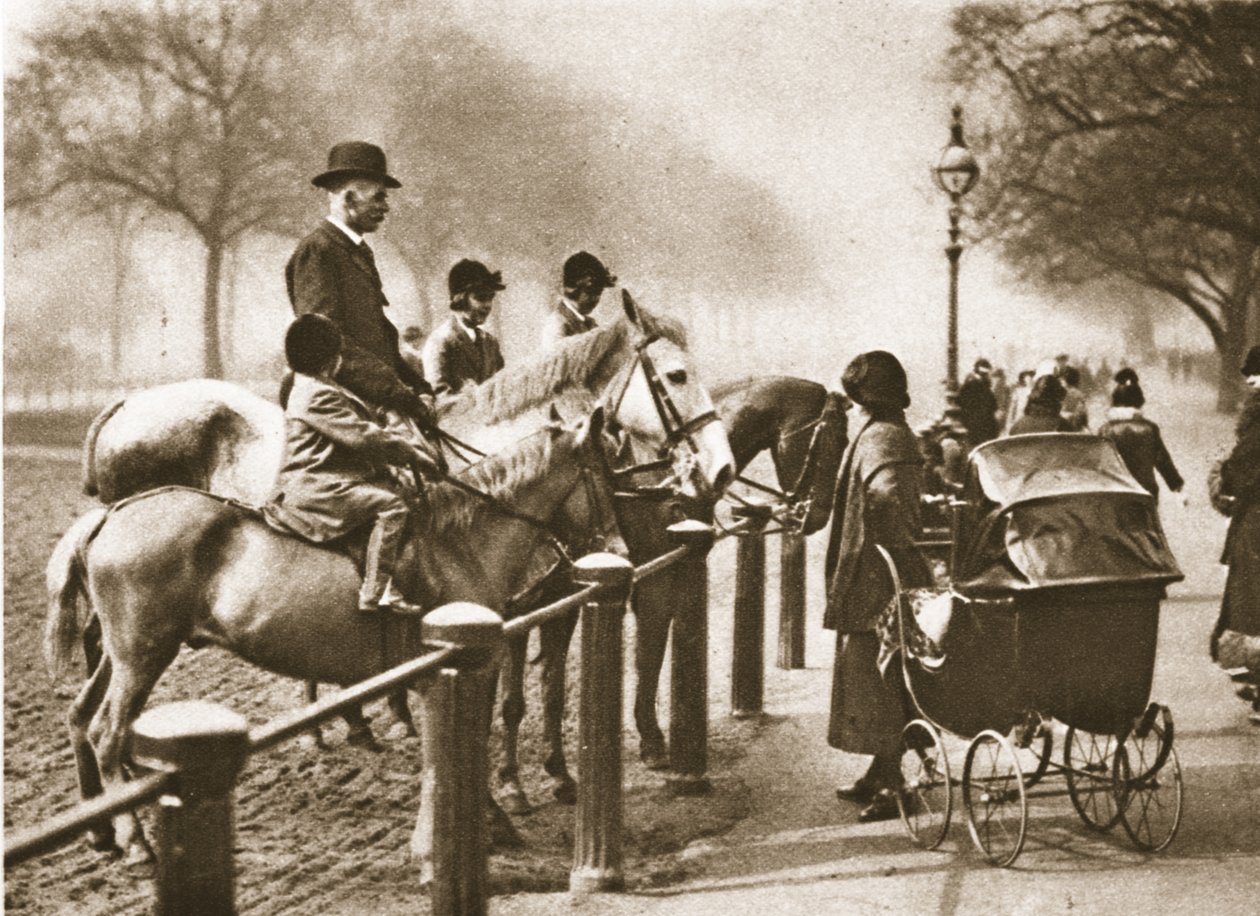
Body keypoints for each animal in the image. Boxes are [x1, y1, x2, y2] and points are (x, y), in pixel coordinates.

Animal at [46, 408, 617, 861]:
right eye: (607, 471)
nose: (616, 545)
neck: (461, 543)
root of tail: (110, 517)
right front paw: (492, 819)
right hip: (143, 656)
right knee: (106, 734)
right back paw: (135, 841)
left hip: (122, 655)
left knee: (81, 718)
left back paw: (102, 831)